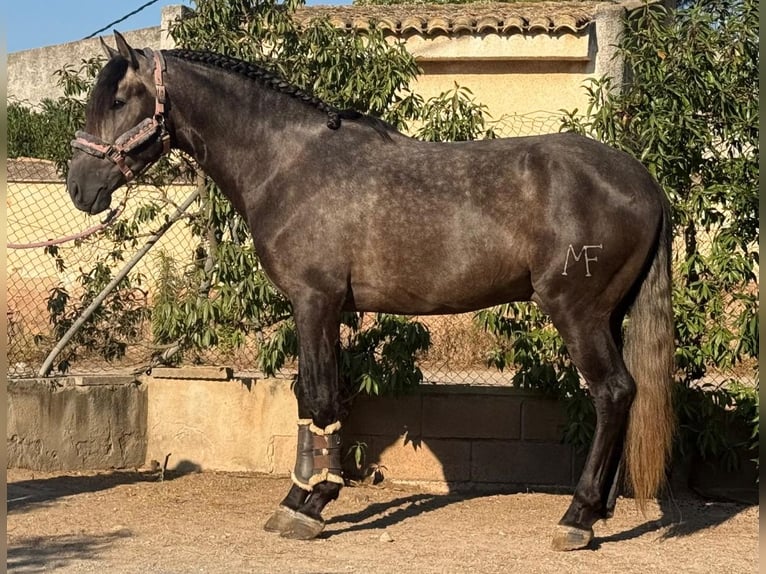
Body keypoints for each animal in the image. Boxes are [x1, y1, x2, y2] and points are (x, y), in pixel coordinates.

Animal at [67, 32, 675, 551]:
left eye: (119, 99)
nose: (79, 187)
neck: (287, 164)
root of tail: (642, 178)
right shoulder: (330, 309)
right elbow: (320, 398)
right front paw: (311, 495)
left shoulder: (313, 302)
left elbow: (316, 396)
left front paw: (306, 504)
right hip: (608, 315)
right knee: (625, 395)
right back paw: (600, 512)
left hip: (578, 313)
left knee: (612, 393)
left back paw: (577, 516)